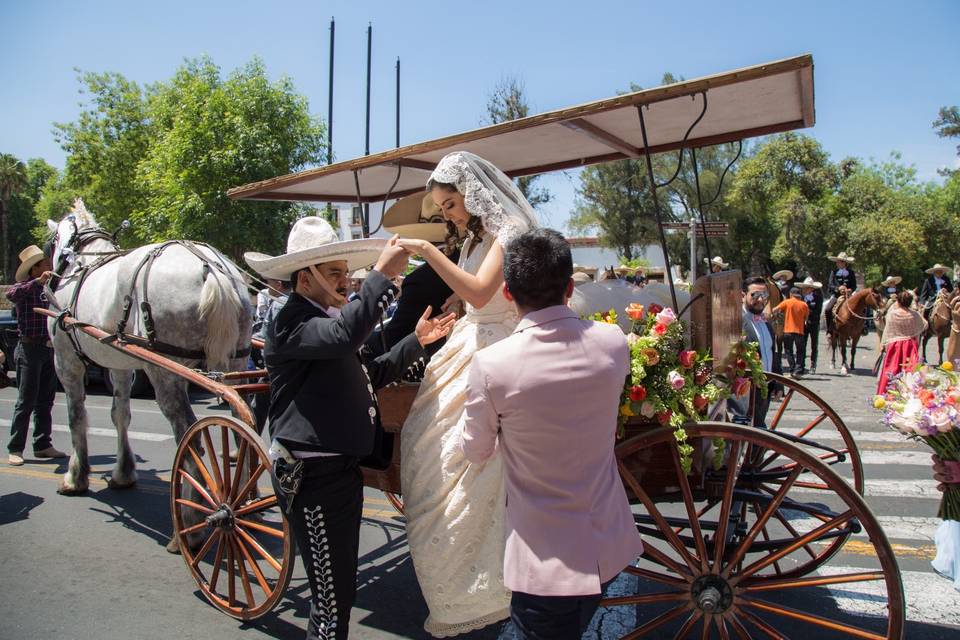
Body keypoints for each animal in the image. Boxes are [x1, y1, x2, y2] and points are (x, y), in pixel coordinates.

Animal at [45, 202, 253, 516]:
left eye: (54, 240)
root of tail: (209, 267)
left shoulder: (65, 360)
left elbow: (76, 416)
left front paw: (75, 477)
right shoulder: (119, 365)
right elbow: (120, 414)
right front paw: (122, 473)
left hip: (164, 370)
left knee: (190, 437)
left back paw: (192, 513)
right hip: (236, 361)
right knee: (243, 428)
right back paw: (246, 496)